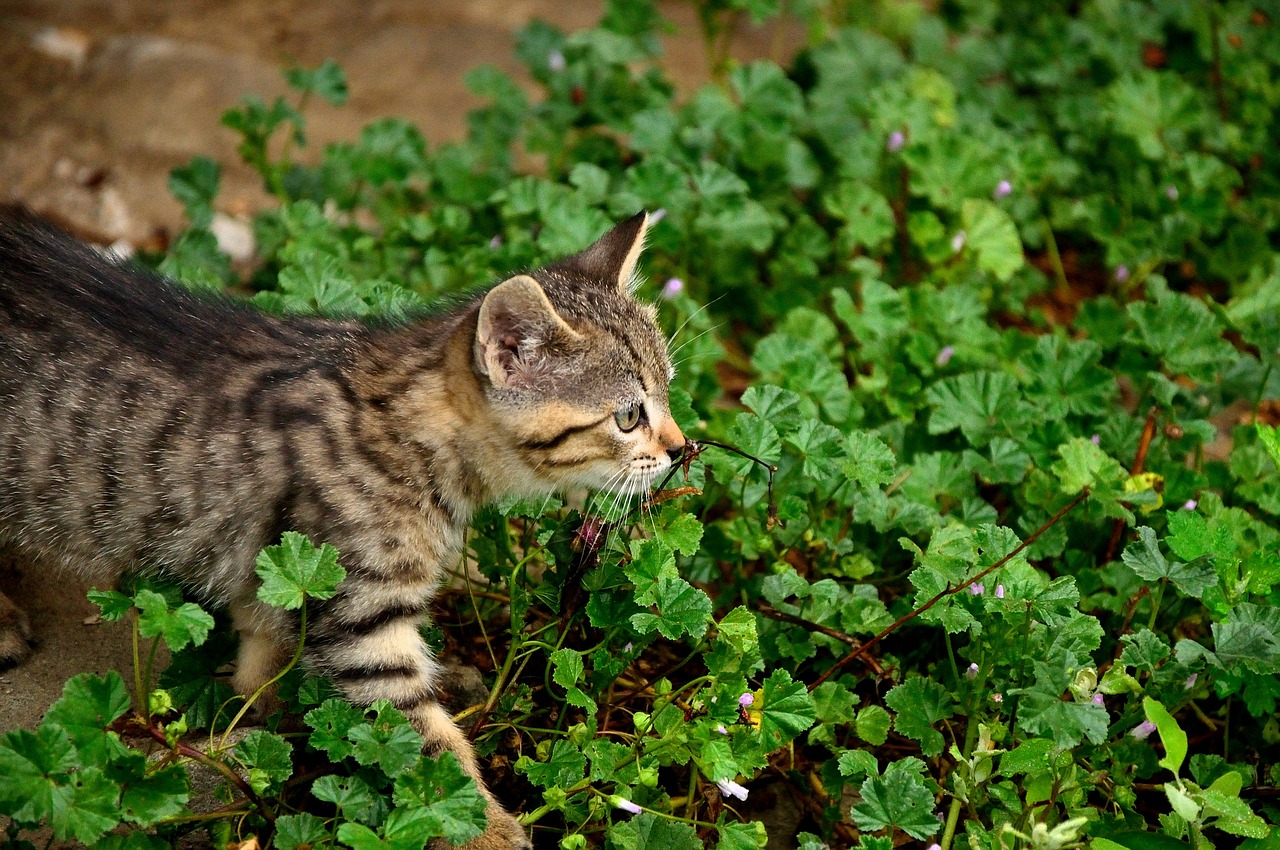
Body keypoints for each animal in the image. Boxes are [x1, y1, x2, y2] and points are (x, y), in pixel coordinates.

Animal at [0, 207, 691, 850]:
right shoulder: (364, 620)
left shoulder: (287, 574)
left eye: (669, 391)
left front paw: (257, 708)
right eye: (629, 417)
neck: (415, 437)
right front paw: (482, 824)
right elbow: (425, 741)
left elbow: (263, 647)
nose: (682, 449)